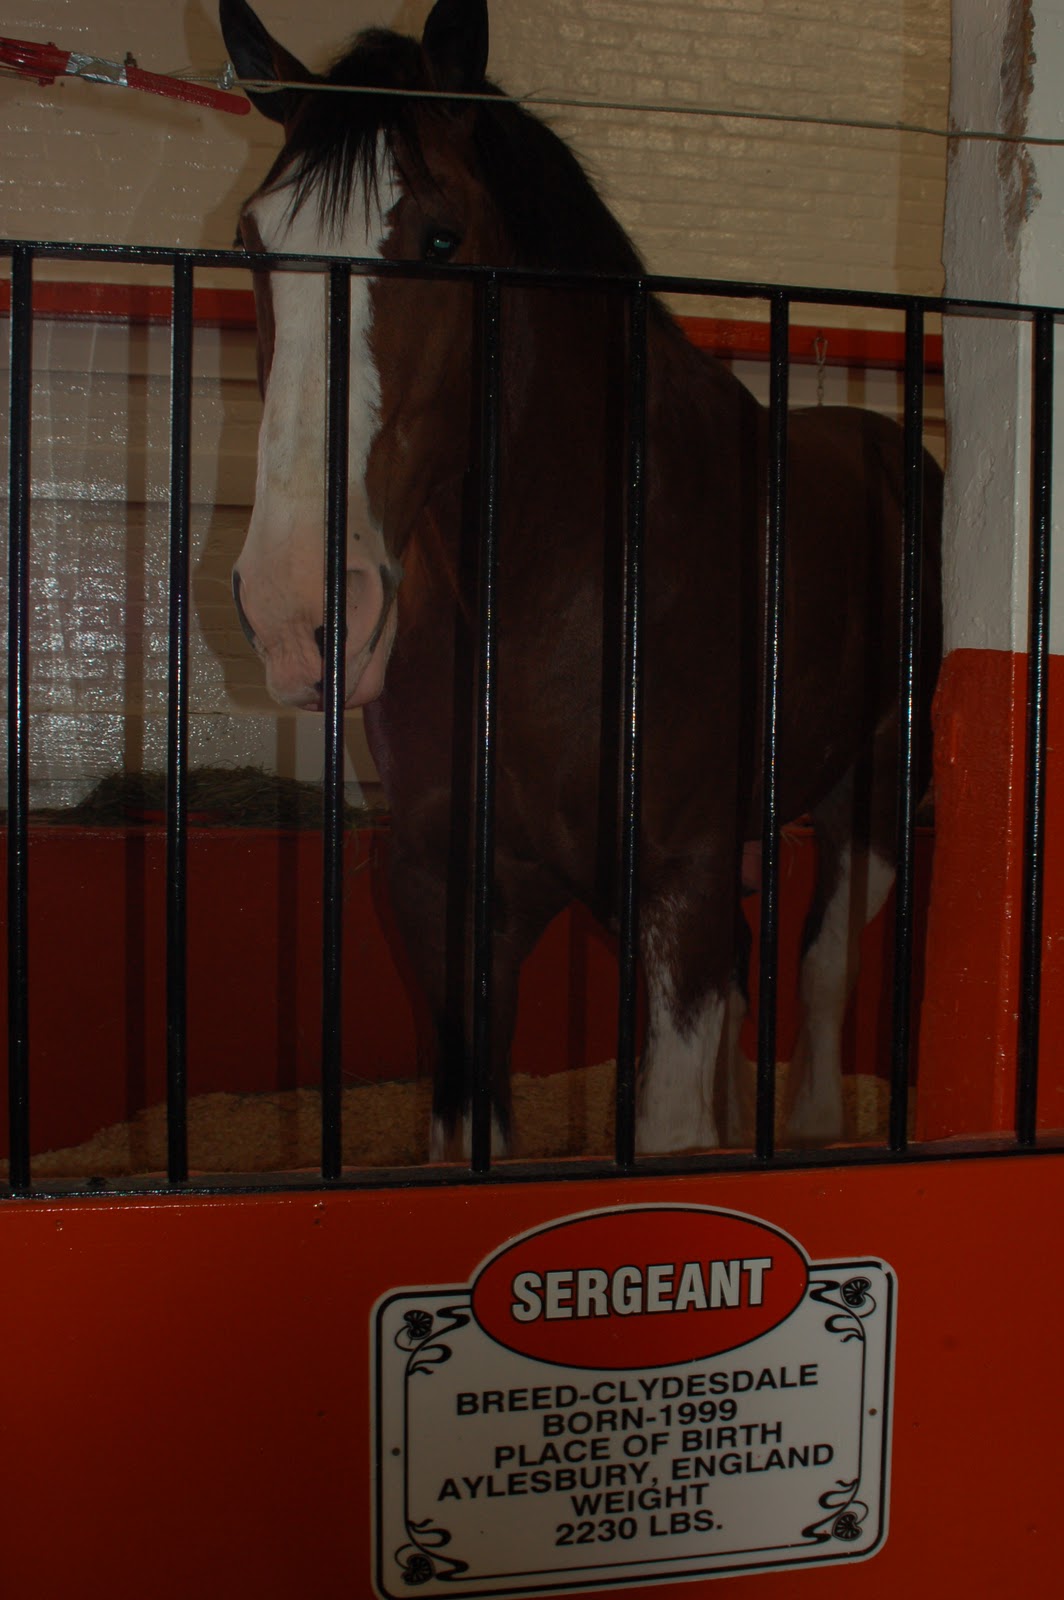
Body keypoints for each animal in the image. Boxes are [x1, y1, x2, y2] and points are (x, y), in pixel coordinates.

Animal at [218, 0, 942, 1159]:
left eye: (440, 239)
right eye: (251, 241)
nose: (298, 610)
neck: (560, 594)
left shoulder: (677, 893)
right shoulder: (450, 905)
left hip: (869, 801)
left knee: (824, 976)